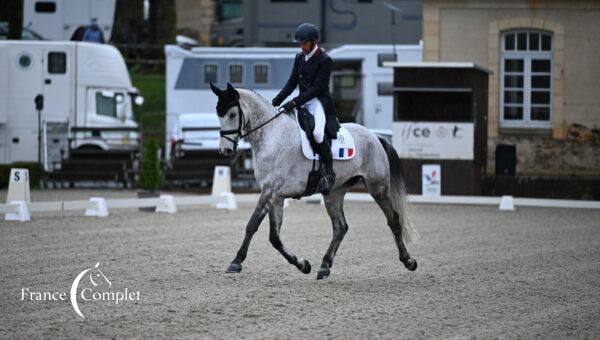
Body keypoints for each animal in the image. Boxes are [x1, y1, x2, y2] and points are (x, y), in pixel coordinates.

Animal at [211, 82, 418, 278]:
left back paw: (408, 261)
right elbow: (274, 238)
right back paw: (325, 266)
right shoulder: (275, 196)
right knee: (340, 227)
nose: (225, 150)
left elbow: (252, 225)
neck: (273, 136)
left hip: (378, 188)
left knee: (393, 220)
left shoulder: (269, 190)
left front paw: (236, 262)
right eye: (219, 115)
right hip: (334, 193)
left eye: (232, 114)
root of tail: (375, 136)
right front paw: (303, 265)